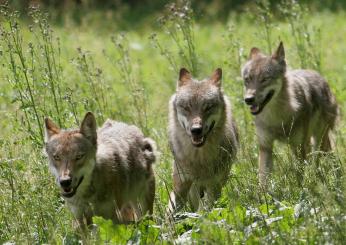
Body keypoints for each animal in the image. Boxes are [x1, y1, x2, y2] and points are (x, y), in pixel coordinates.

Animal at [241, 41, 338, 186]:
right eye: (247, 80)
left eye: (265, 79)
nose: (248, 99)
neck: (277, 117)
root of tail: (318, 75)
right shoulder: (265, 147)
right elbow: (263, 181)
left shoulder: (298, 147)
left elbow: (299, 178)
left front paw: (301, 191)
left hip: (318, 140)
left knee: (324, 158)